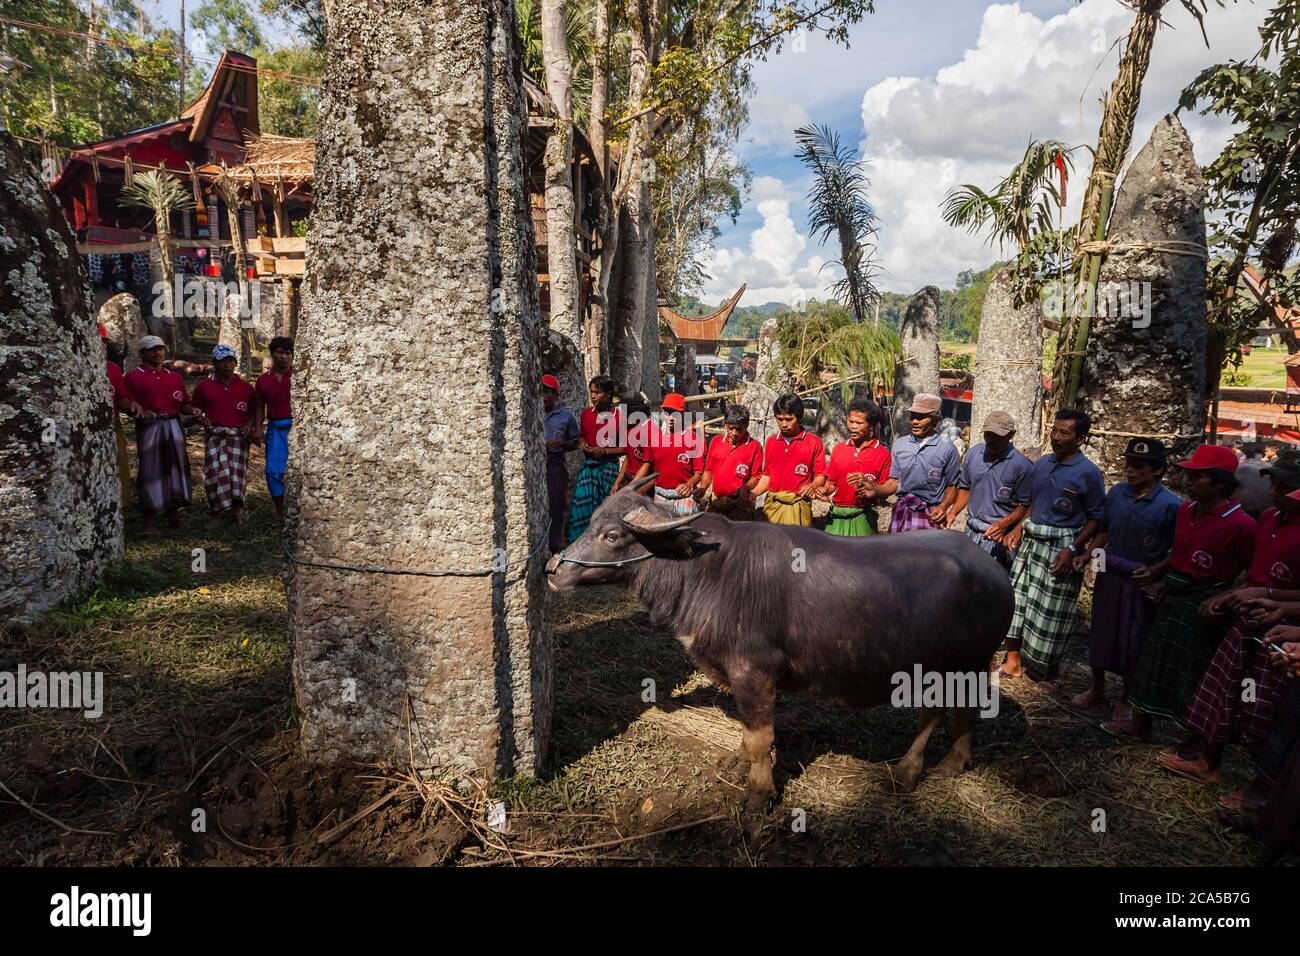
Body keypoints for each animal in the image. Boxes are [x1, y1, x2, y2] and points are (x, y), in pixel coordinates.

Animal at [543, 476, 1008, 811]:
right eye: (591, 523)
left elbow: (760, 738)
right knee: (964, 709)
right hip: (965, 665)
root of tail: (996, 574)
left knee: (934, 713)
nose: (553, 570)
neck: (706, 570)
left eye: (611, 536)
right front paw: (736, 762)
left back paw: (910, 771)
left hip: (951, 665)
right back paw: (953, 763)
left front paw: (758, 795)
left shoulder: (754, 673)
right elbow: (747, 732)